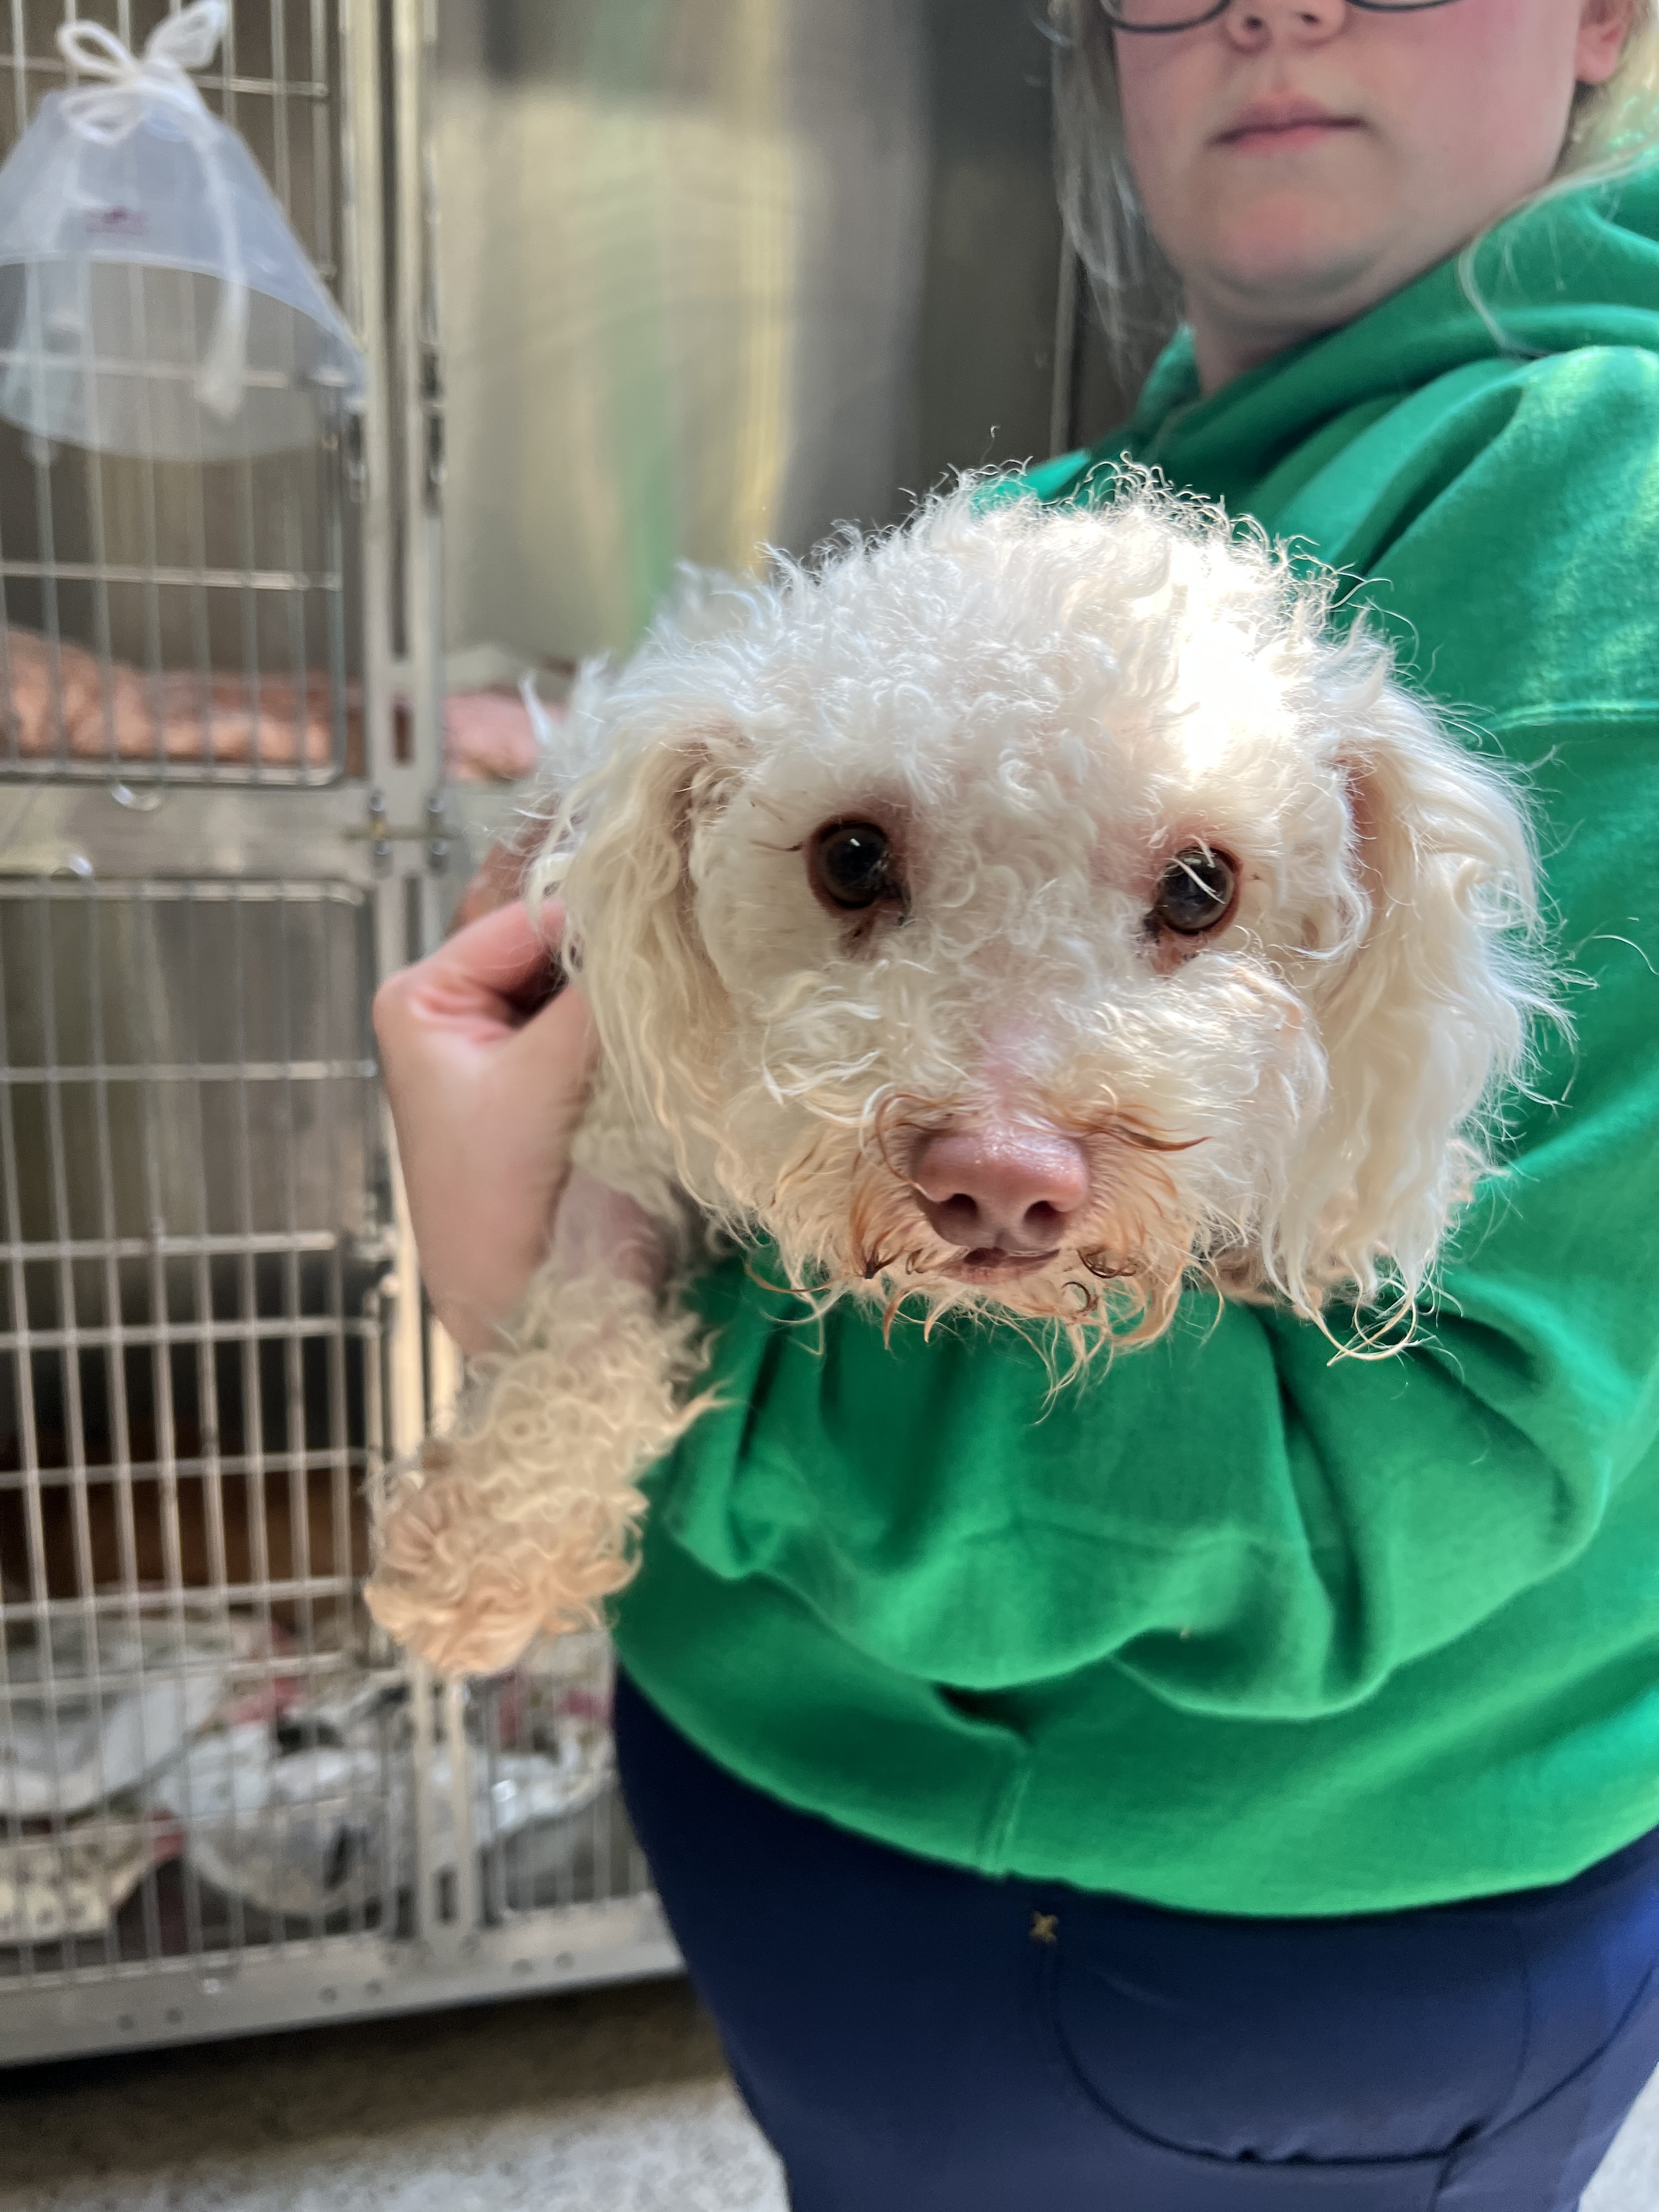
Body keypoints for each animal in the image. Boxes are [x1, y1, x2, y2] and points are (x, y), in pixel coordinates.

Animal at [363, 471, 1548, 1672]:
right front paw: (492, 1547)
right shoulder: (625, 1124)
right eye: (848, 858)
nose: (999, 1179)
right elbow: (588, 1321)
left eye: (1201, 887)